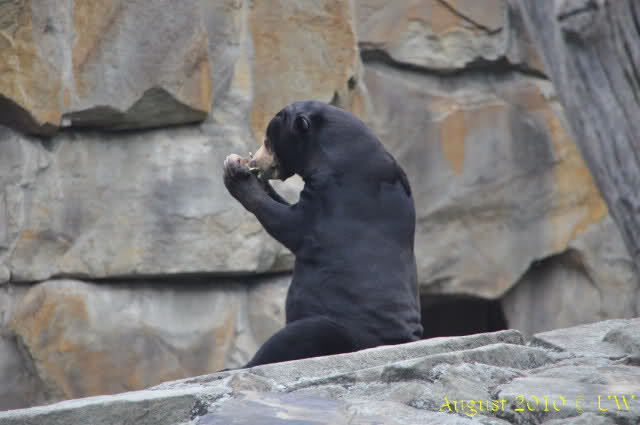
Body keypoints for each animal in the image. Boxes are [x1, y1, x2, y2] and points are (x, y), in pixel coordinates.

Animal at [223, 100, 423, 367]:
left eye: (268, 140)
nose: (256, 159)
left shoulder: (334, 196)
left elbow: (288, 224)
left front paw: (235, 171)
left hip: (344, 329)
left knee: (300, 334)